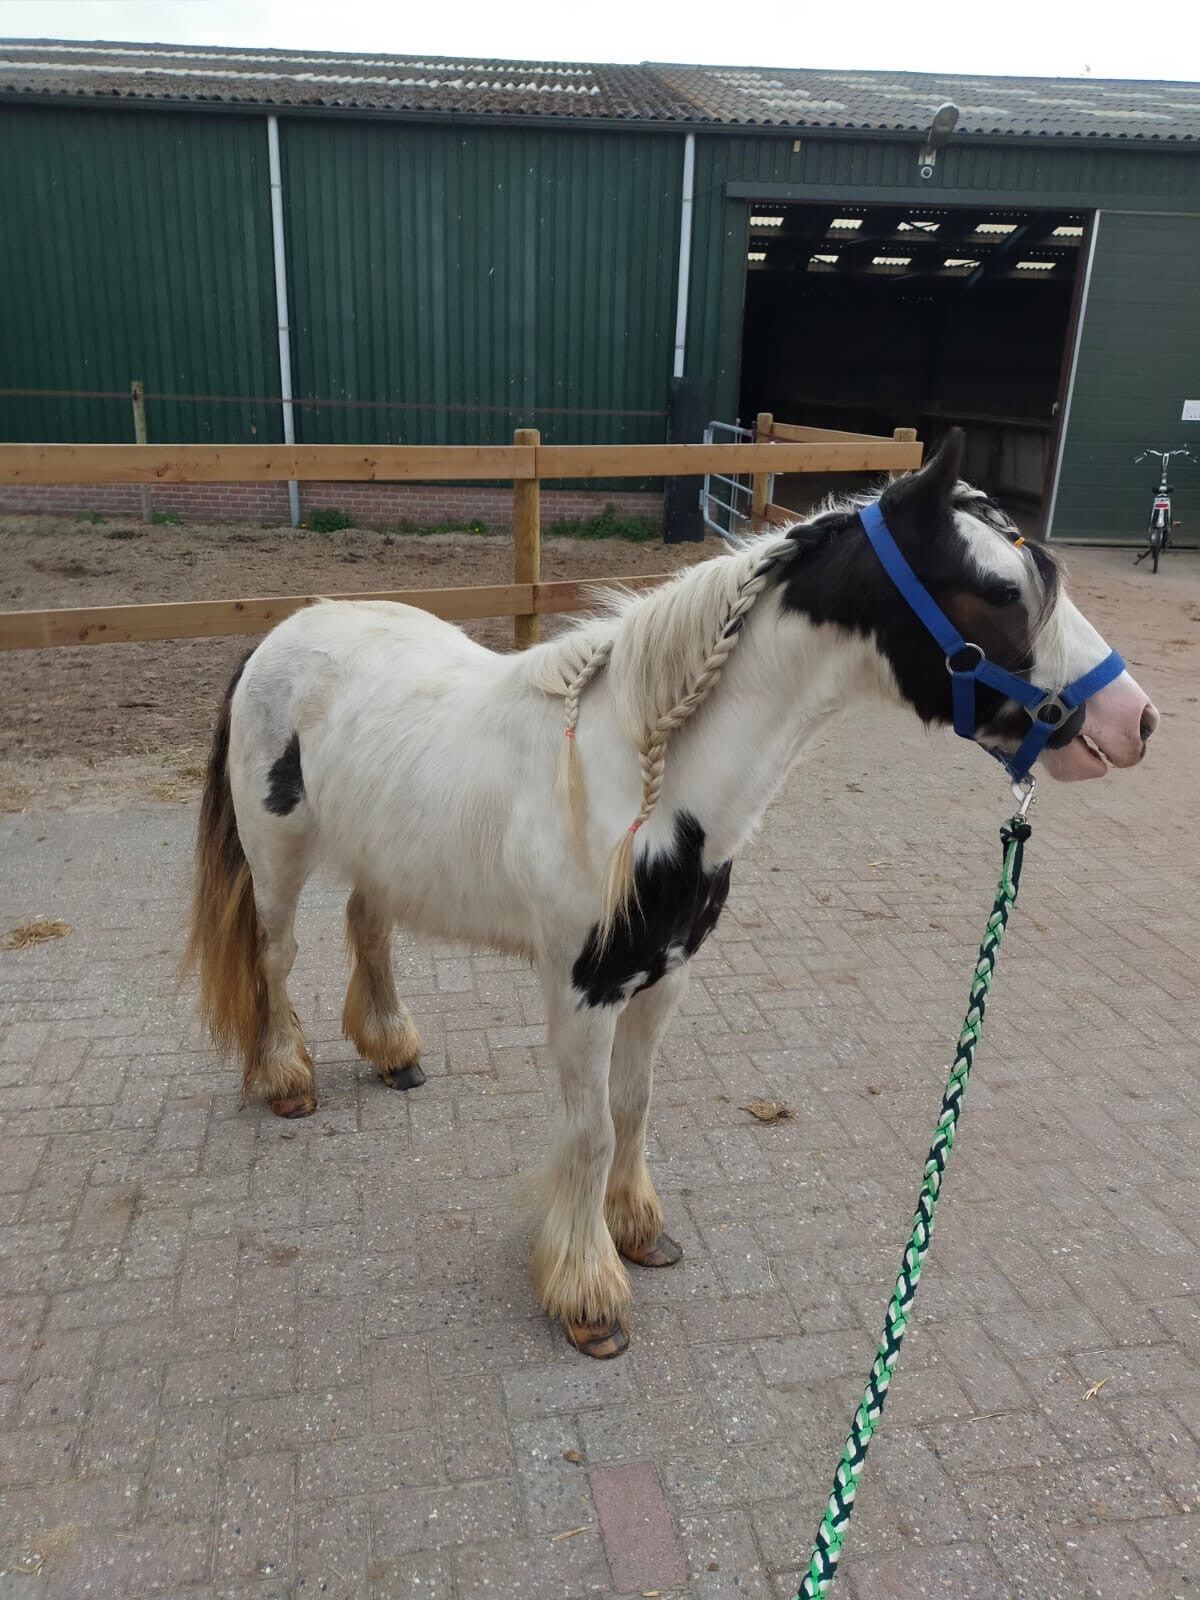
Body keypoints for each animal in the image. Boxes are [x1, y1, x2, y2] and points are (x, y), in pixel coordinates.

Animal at [183, 431, 1157, 1358]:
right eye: (997, 590)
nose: (1134, 722)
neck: (641, 781)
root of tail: (279, 635)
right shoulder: (584, 993)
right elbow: (588, 1132)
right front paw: (588, 1299)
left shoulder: (665, 979)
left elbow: (633, 1106)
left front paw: (638, 1232)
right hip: (278, 860)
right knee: (276, 957)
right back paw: (285, 1079)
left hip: (383, 854)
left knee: (368, 928)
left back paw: (393, 1052)